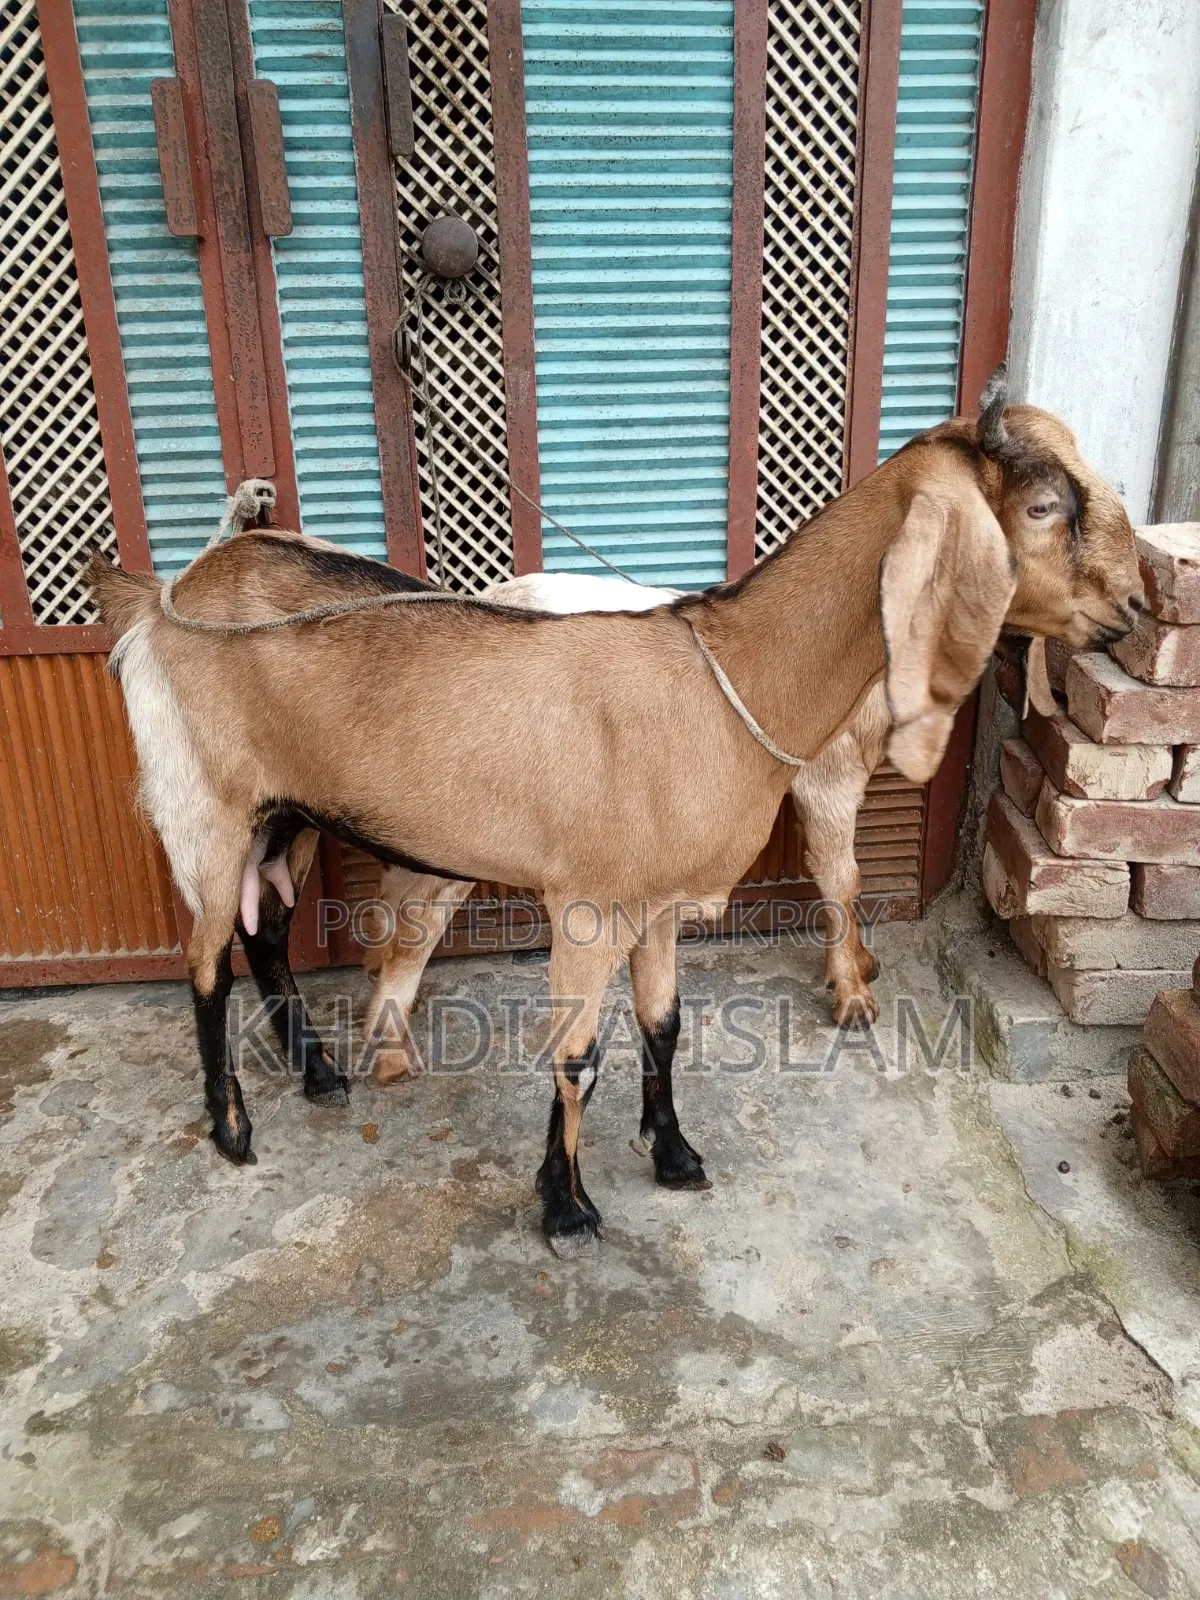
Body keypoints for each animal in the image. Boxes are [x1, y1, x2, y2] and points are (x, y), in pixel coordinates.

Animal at [90, 385, 1141, 1257]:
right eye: (1043, 509)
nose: (1132, 606)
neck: (729, 677)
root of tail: (167, 599)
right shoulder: (587, 903)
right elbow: (578, 1056)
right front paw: (567, 1207)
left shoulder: (659, 899)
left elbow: (664, 1026)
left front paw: (674, 1156)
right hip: (206, 805)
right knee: (205, 960)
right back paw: (233, 1129)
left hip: (286, 811)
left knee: (265, 932)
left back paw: (318, 1076)